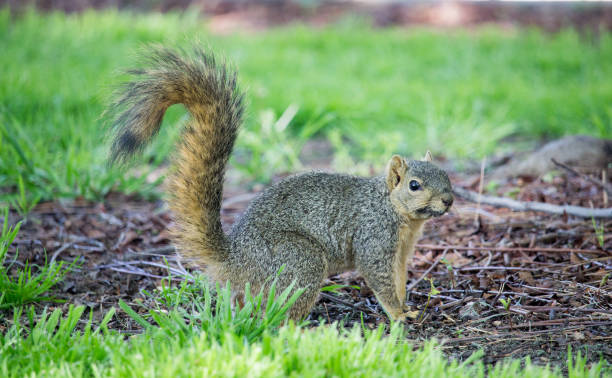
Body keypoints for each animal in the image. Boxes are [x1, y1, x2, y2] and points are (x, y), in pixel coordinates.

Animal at [105, 45, 452, 320]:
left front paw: (407, 308)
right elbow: (381, 280)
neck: (394, 211)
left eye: (446, 176)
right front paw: (397, 315)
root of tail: (235, 260)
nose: (448, 200)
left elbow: (400, 279)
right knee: (278, 314)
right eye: (414, 185)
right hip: (300, 259)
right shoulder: (374, 238)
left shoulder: (402, 251)